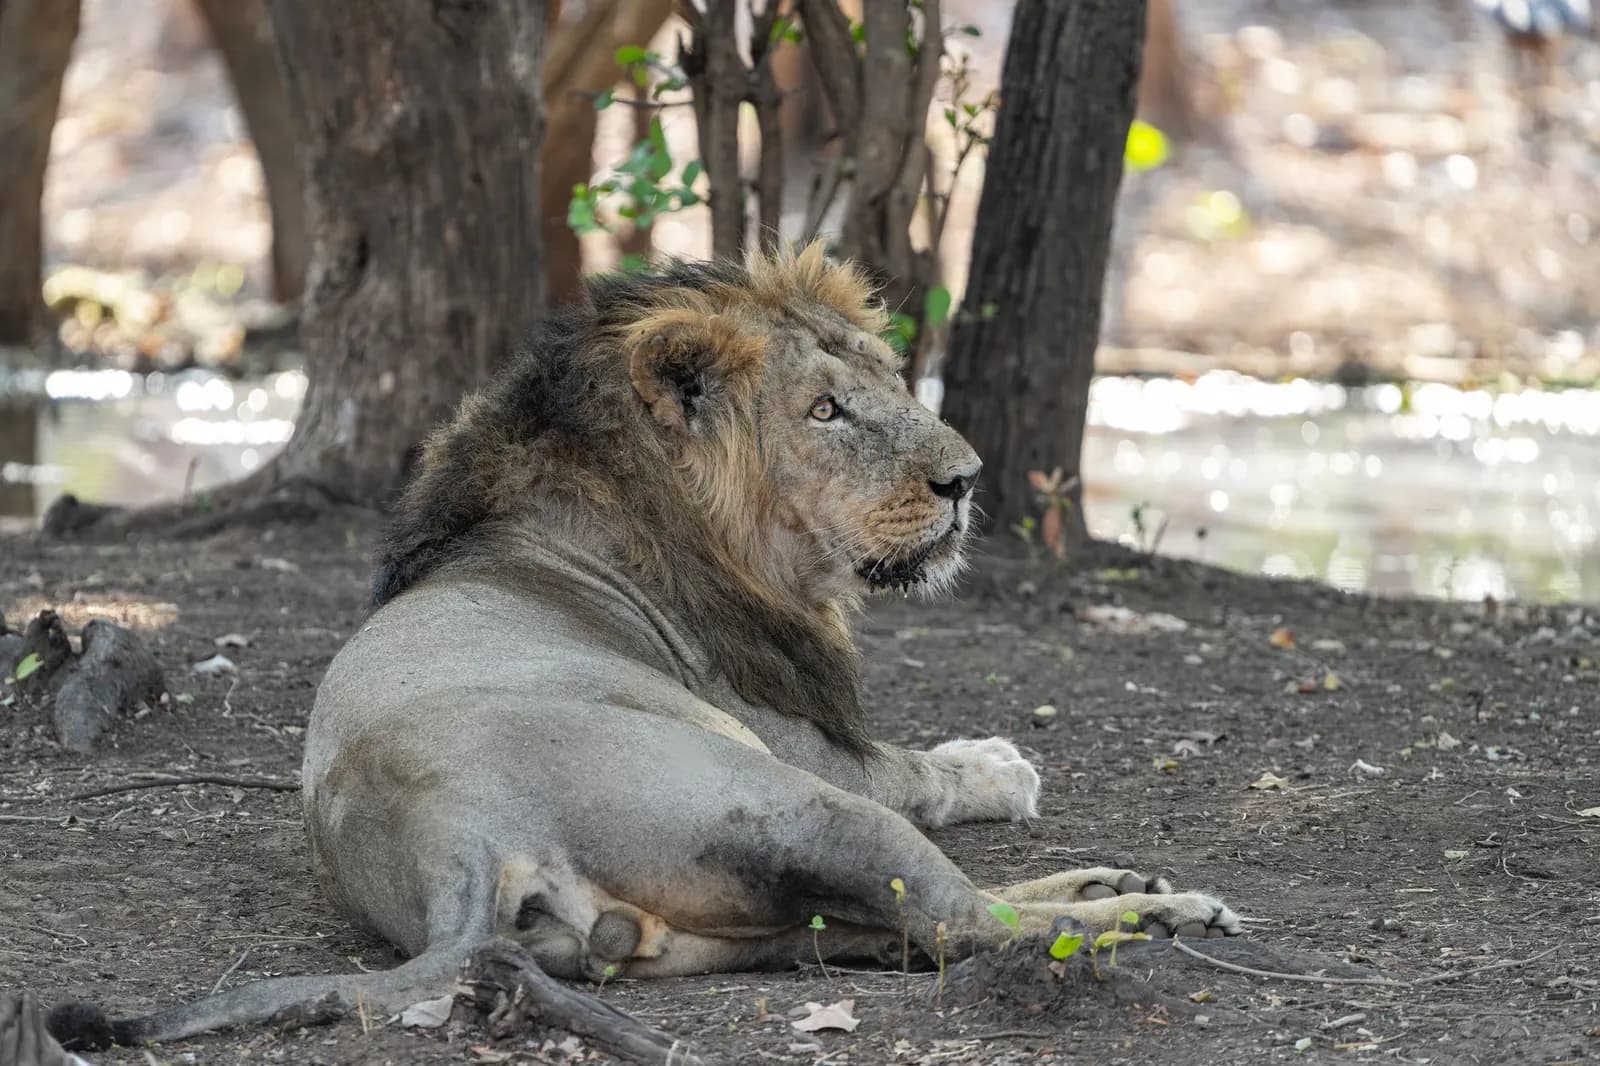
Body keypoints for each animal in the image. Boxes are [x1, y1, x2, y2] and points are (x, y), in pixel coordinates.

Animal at [46, 245, 1240, 1054]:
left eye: (892, 383)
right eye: (826, 411)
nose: (966, 479)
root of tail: (452, 837)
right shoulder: (806, 744)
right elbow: (924, 770)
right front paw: (998, 764)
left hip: (732, 921)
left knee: (910, 926)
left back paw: (1117, 883)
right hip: (787, 799)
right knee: (962, 920)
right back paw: (1152, 912)